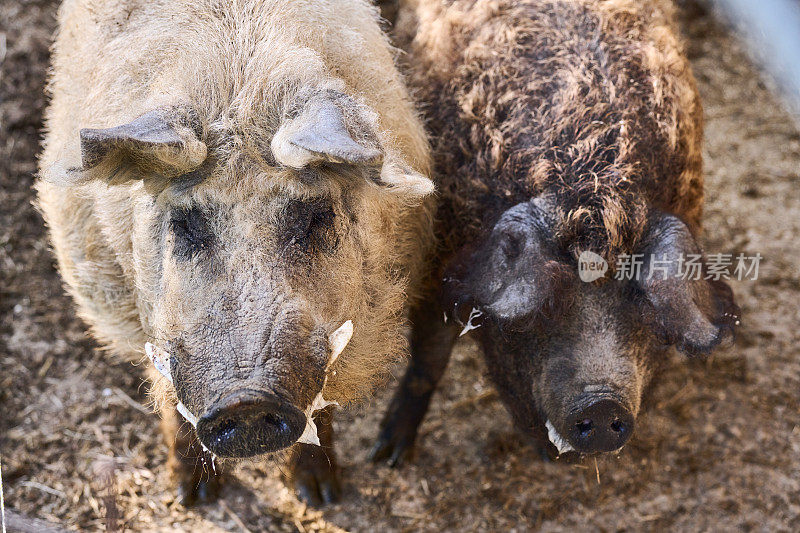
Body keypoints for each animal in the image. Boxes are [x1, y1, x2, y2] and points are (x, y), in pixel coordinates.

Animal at [372, 0, 740, 466]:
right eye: (545, 304)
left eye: (645, 306)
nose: (601, 405)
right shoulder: (441, 254)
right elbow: (429, 358)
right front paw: (386, 455)